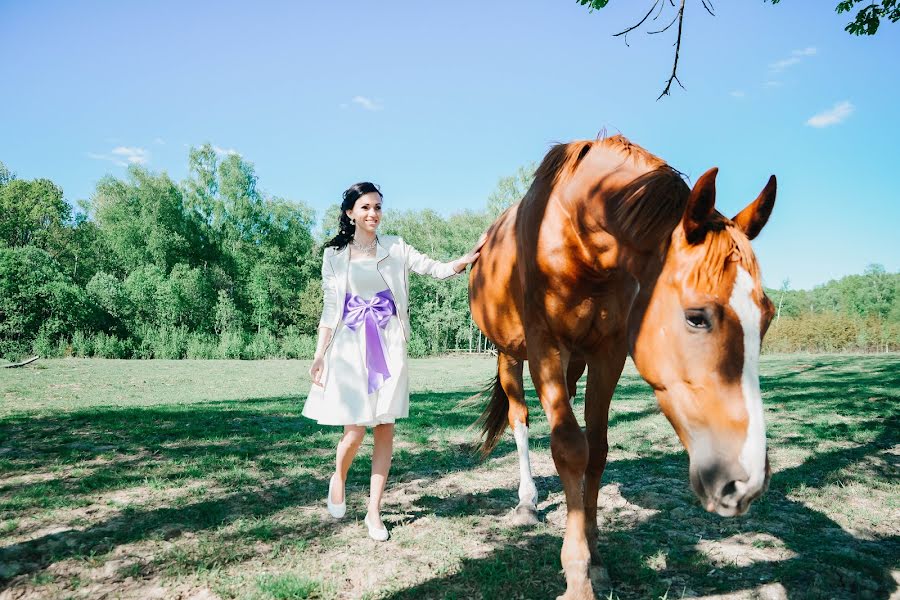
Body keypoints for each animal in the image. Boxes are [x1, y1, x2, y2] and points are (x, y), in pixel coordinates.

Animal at [468, 134, 776, 596]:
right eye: (696, 317)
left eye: (768, 317)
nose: (747, 482)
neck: (578, 236)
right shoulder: (545, 346)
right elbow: (569, 447)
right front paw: (577, 576)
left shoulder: (607, 353)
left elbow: (595, 451)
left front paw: (594, 558)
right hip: (511, 355)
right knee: (520, 420)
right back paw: (527, 502)